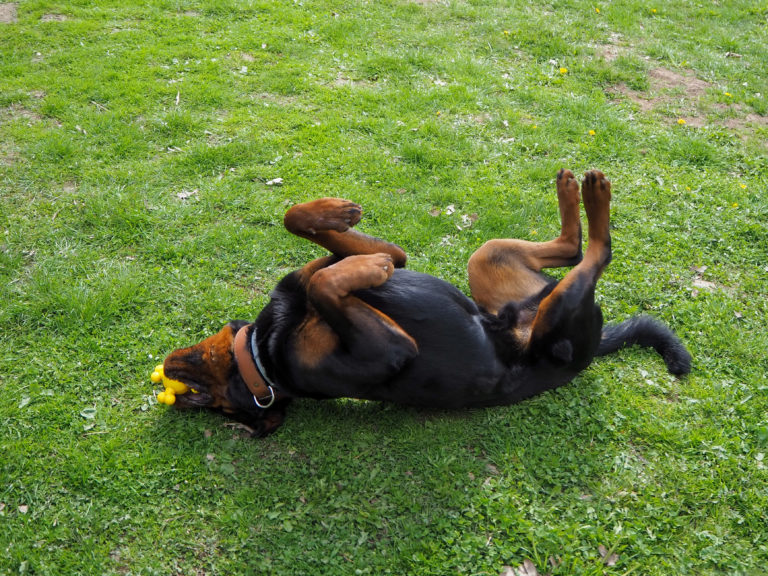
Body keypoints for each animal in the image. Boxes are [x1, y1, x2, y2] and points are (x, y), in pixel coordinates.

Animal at [160, 171, 688, 436]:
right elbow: (328, 283)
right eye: (211, 405)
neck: (265, 353)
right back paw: (595, 193)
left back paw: (571, 186)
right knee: (596, 253)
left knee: (573, 248)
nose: (167, 377)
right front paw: (368, 268)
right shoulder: (388, 346)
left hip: (489, 258)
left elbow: (302, 228)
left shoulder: (377, 258)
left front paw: (334, 213)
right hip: (558, 320)